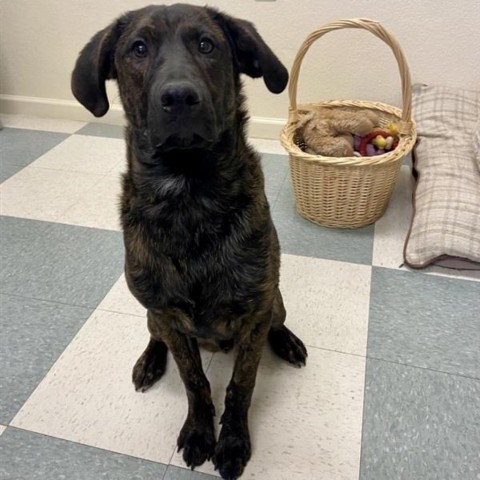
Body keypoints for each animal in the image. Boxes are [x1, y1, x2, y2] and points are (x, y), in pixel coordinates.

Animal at [71, 4, 308, 480]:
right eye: (138, 49)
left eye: (206, 44)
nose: (179, 97)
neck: (189, 196)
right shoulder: (169, 315)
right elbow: (194, 381)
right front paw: (200, 431)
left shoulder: (254, 313)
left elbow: (241, 384)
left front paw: (231, 440)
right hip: (154, 317)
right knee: (156, 337)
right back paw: (148, 362)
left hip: (274, 302)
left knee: (276, 321)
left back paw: (287, 341)